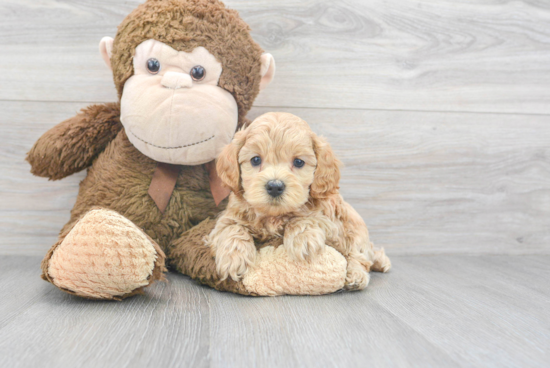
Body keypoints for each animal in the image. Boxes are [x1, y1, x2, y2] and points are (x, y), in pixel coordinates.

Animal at [208, 112, 392, 290]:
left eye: (298, 162)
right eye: (255, 160)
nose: (274, 186)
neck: (274, 215)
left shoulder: (332, 223)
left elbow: (303, 218)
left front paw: (303, 239)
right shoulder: (228, 216)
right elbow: (231, 228)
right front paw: (233, 258)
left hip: (355, 229)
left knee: (360, 255)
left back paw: (357, 275)